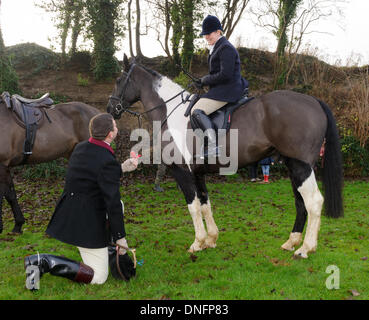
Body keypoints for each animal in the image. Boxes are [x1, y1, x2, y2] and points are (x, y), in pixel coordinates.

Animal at [106, 55, 342, 258]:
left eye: (118, 80)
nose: (110, 109)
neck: (170, 112)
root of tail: (314, 101)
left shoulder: (182, 171)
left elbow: (193, 206)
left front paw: (197, 242)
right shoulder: (198, 173)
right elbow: (205, 204)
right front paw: (211, 239)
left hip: (301, 166)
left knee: (313, 202)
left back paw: (305, 248)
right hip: (294, 167)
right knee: (300, 202)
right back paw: (291, 242)